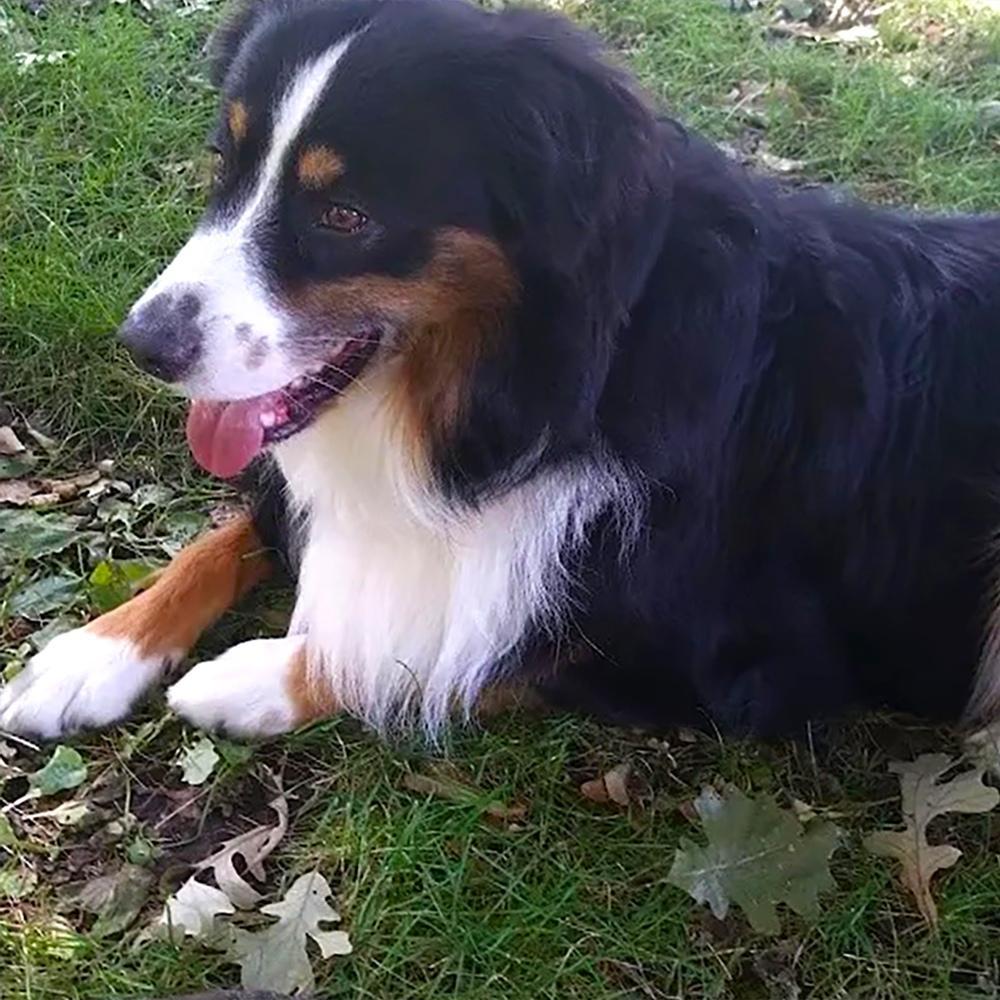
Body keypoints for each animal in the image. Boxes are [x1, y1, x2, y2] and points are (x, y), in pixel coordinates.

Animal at [1, 0, 1000, 744]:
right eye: (224, 164)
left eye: (346, 214)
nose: (143, 343)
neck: (535, 377)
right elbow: (231, 531)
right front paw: (92, 653)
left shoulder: (744, 660)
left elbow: (449, 653)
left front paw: (256, 678)